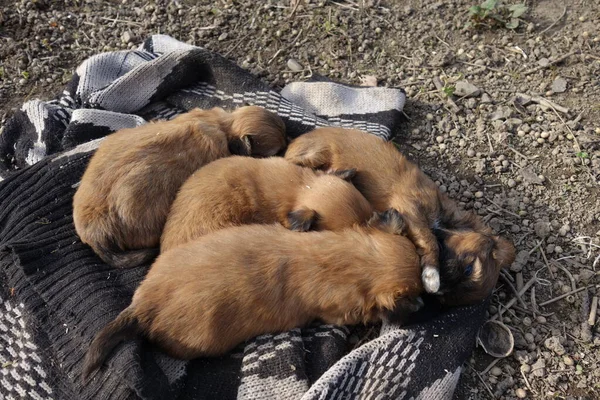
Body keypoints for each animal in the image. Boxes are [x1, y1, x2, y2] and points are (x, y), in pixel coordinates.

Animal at [284, 128, 516, 304]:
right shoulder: (410, 208)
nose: (439, 290)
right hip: (316, 153)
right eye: (469, 269)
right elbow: (429, 240)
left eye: (444, 299)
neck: (445, 217)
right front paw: (431, 275)